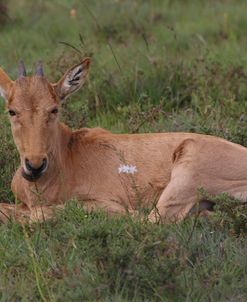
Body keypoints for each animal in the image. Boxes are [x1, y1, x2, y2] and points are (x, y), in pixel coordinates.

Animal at [0, 59, 247, 224]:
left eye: (54, 109)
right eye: (12, 111)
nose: (34, 166)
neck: (67, 153)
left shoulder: (106, 203)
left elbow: (40, 213)